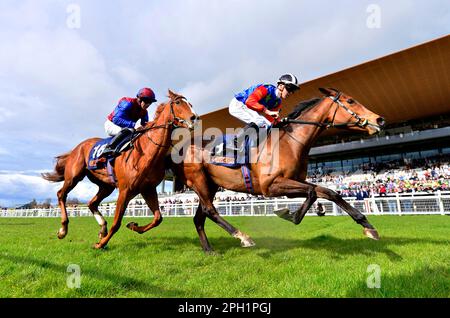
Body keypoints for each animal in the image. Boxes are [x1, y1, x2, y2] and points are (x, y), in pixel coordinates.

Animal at [42, 89, 199, 248]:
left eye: (191, 104)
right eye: (178, 102)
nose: (194, 118)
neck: (147, 152)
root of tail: (78, 147)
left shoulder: (147, 189)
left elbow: (158, 218)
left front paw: (133, 226)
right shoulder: (125, 190)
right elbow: (116, 223)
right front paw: (101, 244)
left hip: (106, 185)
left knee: (92, 203)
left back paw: (102, 228)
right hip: (74, 176)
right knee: (61, 194)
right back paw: (63, 229)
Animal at [167, 88, 384, 252]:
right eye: (351, 100)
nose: (379, 120)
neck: (290, 142)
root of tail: (179, 149)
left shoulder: (294, 181)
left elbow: (328, 192)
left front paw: (368, 226)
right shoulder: (270, 186)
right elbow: (312, 192)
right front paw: (290, 214)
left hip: (210, 185)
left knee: (199, 217)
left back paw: (209, 250)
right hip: (199, 181)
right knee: (209, 210)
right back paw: (243, 237)